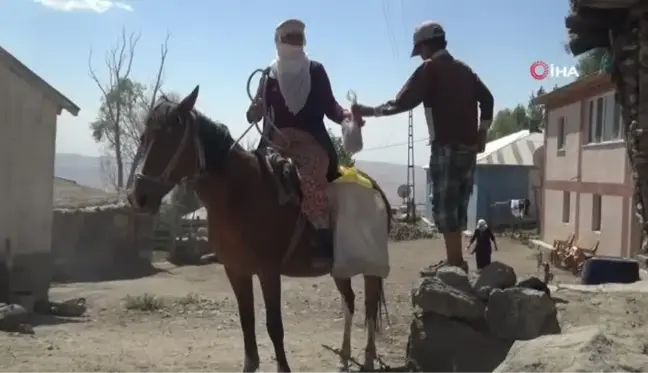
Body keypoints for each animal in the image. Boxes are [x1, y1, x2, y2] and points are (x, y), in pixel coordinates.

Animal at [126, 87, 390, 372]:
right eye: (144, 137)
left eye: (171, 137)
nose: (139, 197)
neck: (241, 193)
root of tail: (376, 188)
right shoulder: (236, 271)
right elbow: (247, 321)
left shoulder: (268, 272)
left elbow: (274, 326)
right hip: (339, 266)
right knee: (349, 301)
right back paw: (343, 356)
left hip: (370, 267)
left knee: (369, 305)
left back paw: (368, 358)